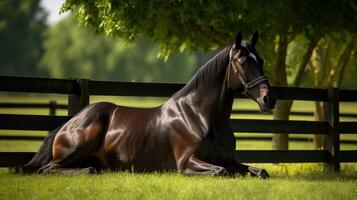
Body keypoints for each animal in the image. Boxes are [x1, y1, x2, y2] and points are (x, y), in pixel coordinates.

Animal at [21, 30, 276, 178]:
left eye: (261, 60)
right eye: (242, 61)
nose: (268, 98)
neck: (199, 116)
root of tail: (69, 123)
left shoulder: (230, 160)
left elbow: (260, 171)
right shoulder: (187, 163)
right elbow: (221, 172)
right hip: (78, 146)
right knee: (49, 169)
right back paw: (88, 170)